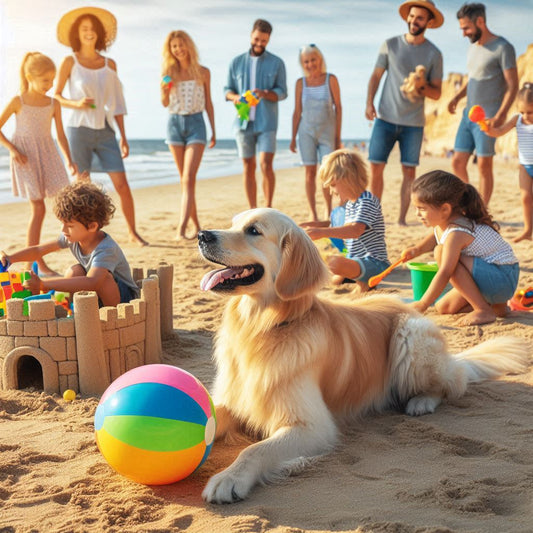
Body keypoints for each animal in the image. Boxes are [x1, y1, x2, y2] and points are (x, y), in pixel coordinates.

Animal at [196, 208, 528, 502]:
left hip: (409, 336)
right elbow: (213, 417)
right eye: (233, 223)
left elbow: (256, 449)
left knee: (453, 383)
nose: (202, 235)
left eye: (254, 230)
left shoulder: (313, 426)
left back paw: (421, 401)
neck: (264, 326)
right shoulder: (235, 399)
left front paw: (229, 478)